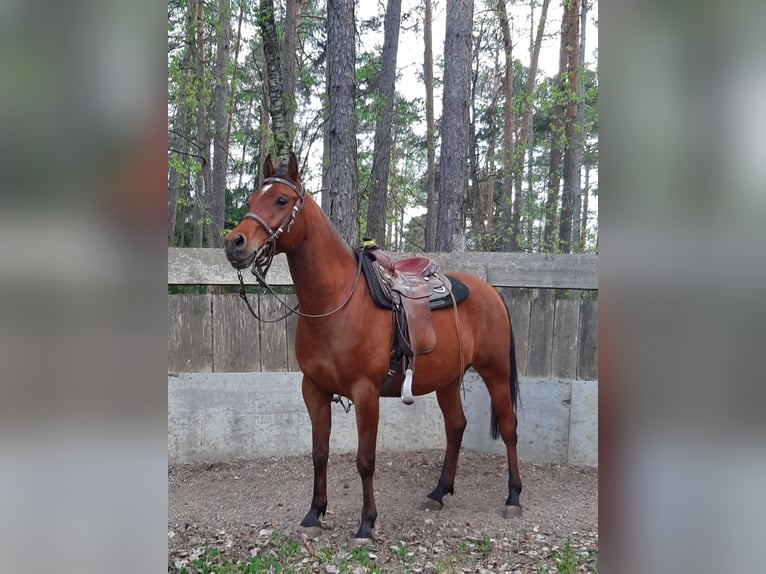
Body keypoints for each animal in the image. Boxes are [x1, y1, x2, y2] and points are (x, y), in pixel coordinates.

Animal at [224, 152, 522, 541]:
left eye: (281, 200)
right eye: (250, 200)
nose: (235, 243)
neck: (336, 303)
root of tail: (491, 293)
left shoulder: (366, 393)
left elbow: (365, 461)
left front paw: (366, 523)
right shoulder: (314, 390)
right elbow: (319, 453)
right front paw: (314, 513)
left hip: (496, 372)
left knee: (509, 428)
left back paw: (513, 497)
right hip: (447, 380)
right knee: (456, 427)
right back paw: (439, 492)